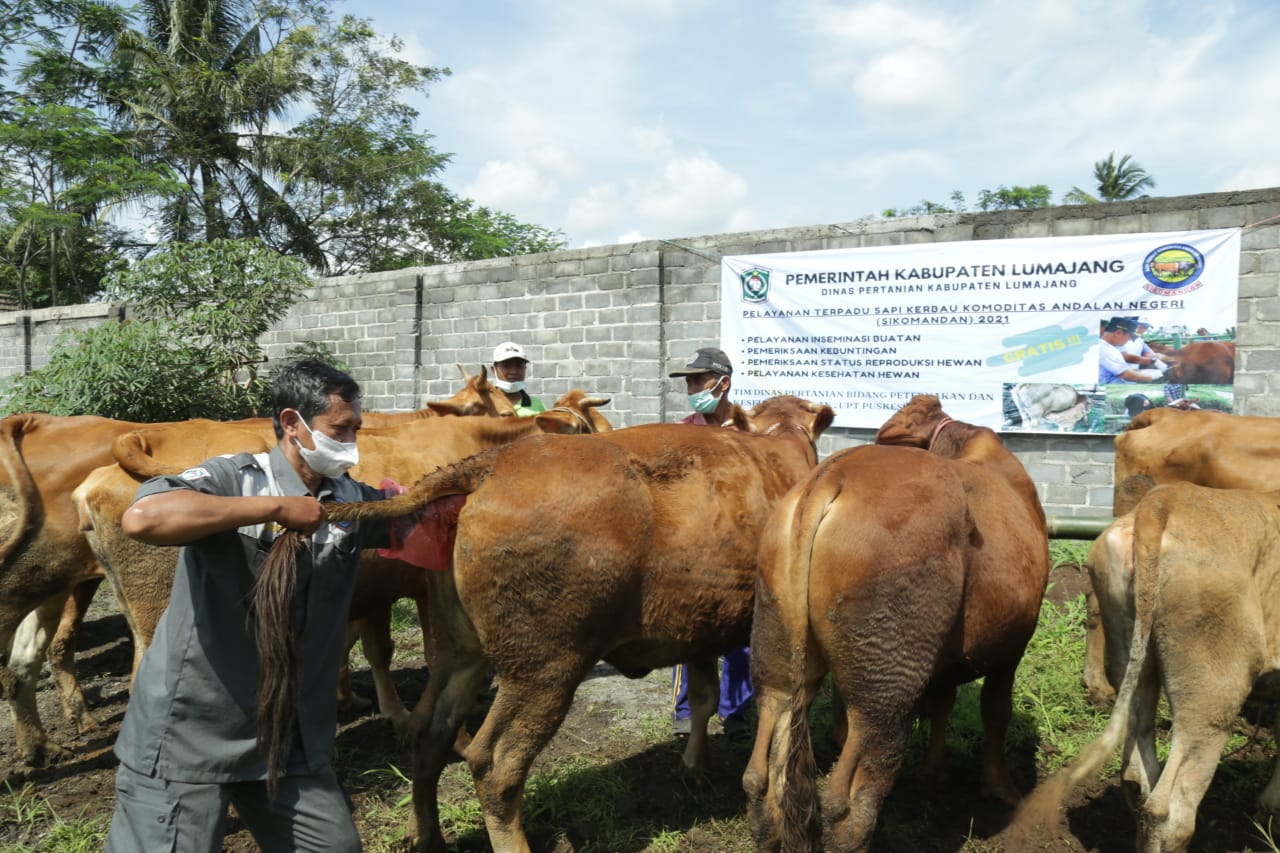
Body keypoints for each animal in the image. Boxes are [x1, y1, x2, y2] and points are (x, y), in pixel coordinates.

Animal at [267, 394, 829, 850]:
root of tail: (488, 465)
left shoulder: (699, 630)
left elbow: (706, 696)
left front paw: (695, 767)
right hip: (544, 673)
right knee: (495, 765)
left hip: (464, 654)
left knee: (430, 733)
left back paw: (425, 835)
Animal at [742, 394, 1049, 845]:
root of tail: (836, 474)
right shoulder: (1010, 650)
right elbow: (996, 713)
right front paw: (1001, 790)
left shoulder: (946, 659)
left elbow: (942, 704)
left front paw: (932, 773)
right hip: (887, 680)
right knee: (850, 790)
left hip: (778, 647)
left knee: (763, 764)